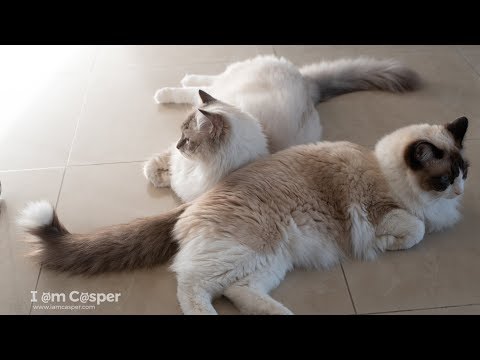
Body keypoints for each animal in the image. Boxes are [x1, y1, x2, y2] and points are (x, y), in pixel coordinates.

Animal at [144, 54, 418, 201]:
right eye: (181, 134)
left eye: (187, 140)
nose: (178, 144)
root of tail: (309, 86)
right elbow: (158, 164)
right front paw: (156, 171)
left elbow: (169, 176)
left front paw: (161, 177)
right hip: (228, 83)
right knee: (202, 84)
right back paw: (172, 87)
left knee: (200, 86)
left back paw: (169, 89)